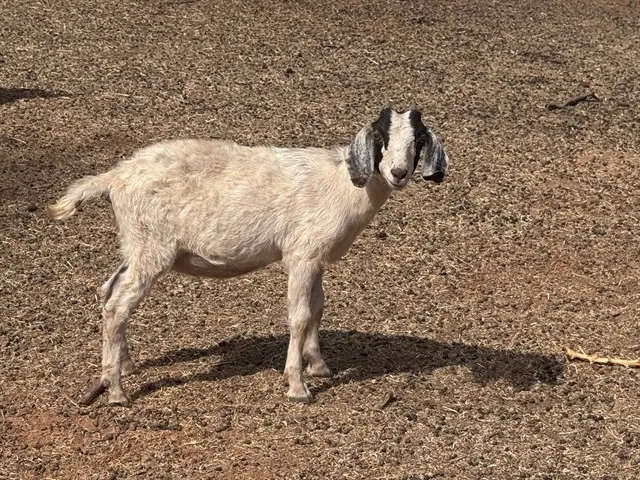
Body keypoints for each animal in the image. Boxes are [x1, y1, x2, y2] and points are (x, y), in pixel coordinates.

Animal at [47, 107, 449, 406]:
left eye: (417, 140)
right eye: (381, 138)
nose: (398, 172)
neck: (342, 183)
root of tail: (116, 177)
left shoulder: (316, 258)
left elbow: (318, 308)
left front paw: (319, 366)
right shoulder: (301, 255)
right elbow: (299, 316)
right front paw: (298, 386)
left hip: (135, 245)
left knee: (108, 291)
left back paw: (122, 366)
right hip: (152, 247)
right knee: (118, 304)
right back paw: (117, 392)